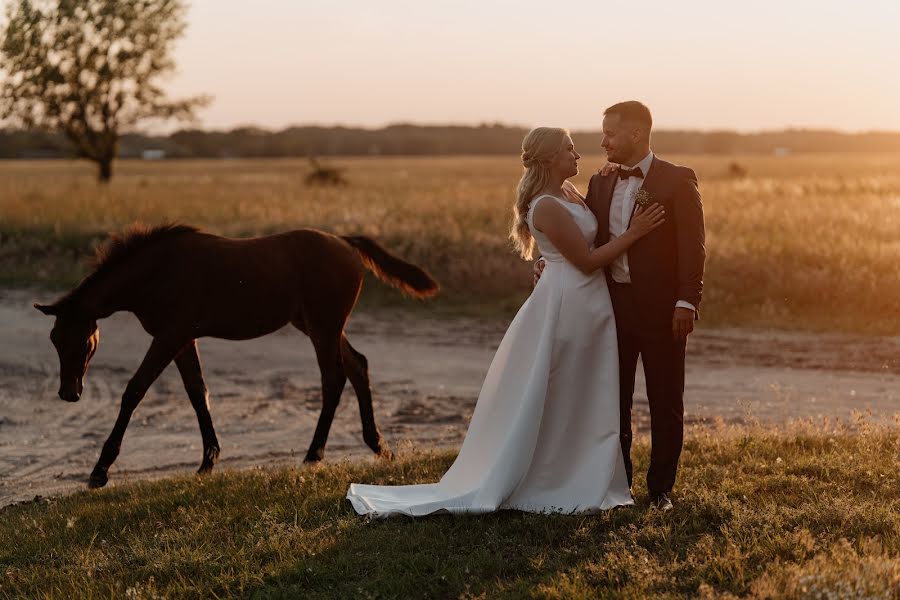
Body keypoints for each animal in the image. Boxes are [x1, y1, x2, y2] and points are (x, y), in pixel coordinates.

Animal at [34, 225, 440, 488]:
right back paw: (377, 445)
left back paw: (314, 455)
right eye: (53, 340)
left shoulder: (169, 336)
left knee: (334, 378)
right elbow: (197, 392)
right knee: (358, 366)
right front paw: (208, 459)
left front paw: (100, 470)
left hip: (323, 325)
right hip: (315, 324)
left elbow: (135, 390)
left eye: (83, 341)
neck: (156, 273)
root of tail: (345, 242)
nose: (69, 392)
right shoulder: (183, 339)